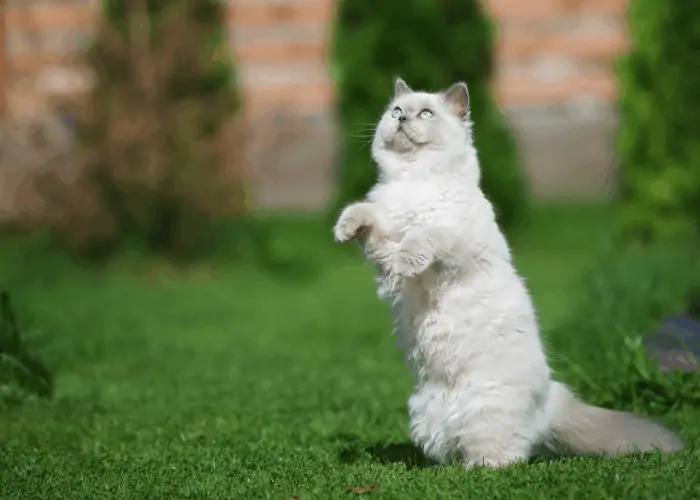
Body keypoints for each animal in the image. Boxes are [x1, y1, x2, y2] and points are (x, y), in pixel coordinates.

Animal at [334, 78, 684, 468]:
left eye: (424, 113)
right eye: (396, 111)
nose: (402, 117)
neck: (414, 179)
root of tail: (550, 396)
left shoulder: (455, 244)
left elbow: (426, 236)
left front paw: (409, 256)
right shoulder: (383, 249)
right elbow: (365, 215)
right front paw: (343, 229)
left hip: (486, 411)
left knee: (507, 455)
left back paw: (477, 468)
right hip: (427, 415)